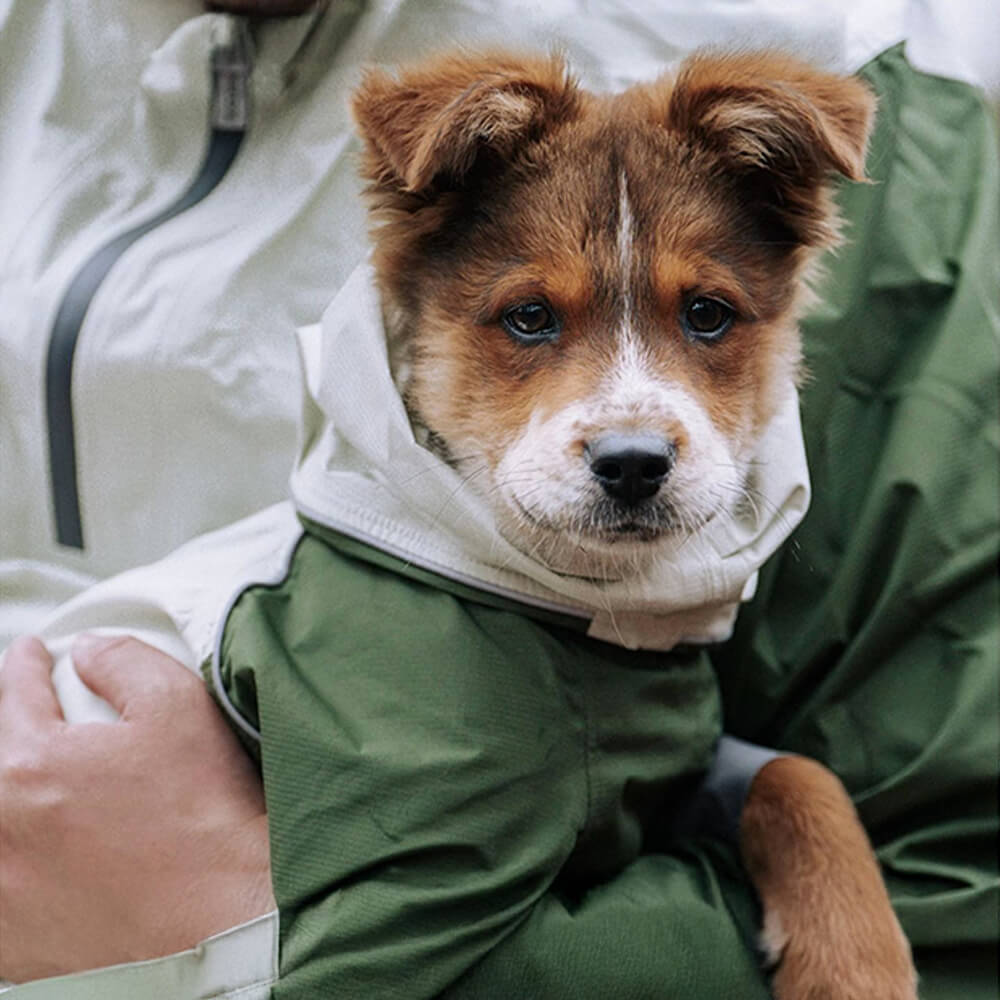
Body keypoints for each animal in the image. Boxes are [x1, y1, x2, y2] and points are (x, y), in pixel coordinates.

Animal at [354, 48, 920, 1000]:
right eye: (530, 317)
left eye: (708, 314)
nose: (632, 465)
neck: (599, 615)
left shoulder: (685, 773)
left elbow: (799, 774)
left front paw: (855, 961)